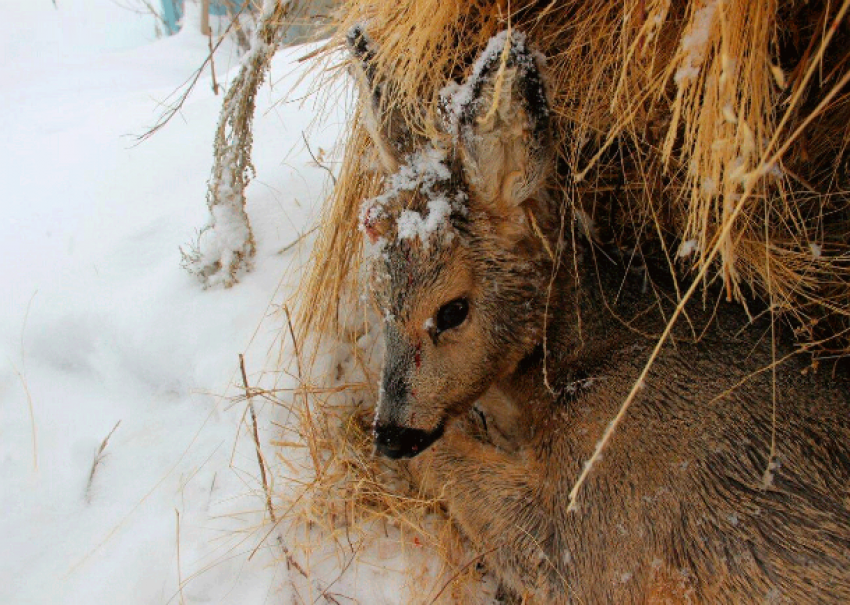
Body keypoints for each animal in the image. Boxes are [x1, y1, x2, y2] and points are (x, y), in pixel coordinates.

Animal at [346, 26, 848, 600]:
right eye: (380, 299)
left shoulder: (592, 539)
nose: (390, 434)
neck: (566, 370)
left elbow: (462, 476)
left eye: (452, 311)